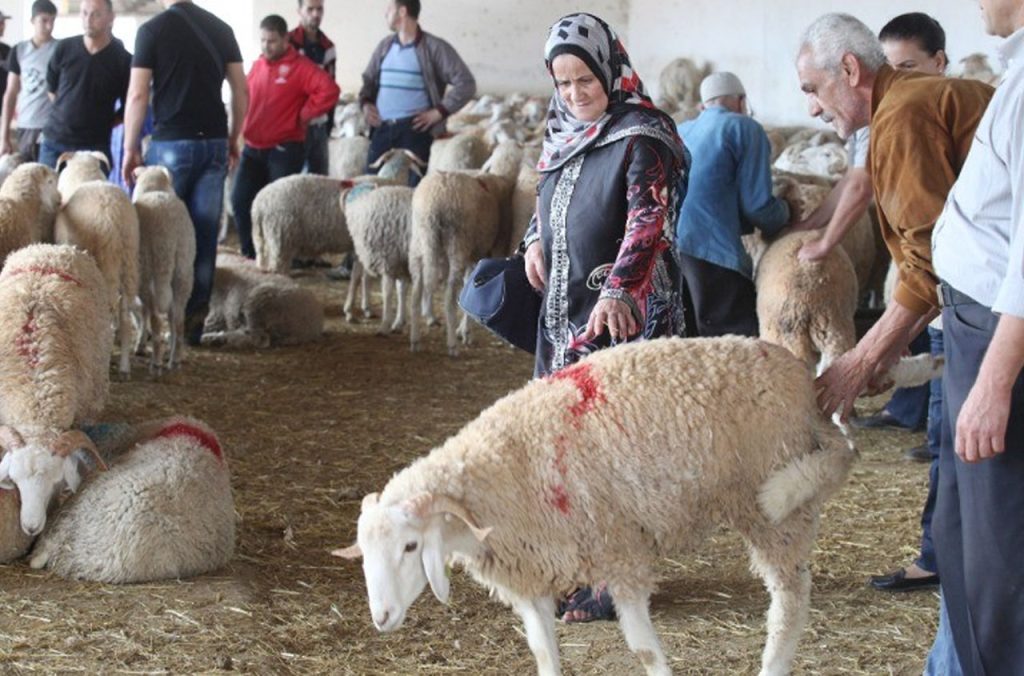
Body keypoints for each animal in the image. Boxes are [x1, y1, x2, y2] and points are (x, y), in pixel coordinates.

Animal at [132, 165, 195, 372]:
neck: (153, 187)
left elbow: (142, 313)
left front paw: (141, 344)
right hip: (183, 268)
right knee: (178, 319)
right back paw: (175, 359)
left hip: (149, 270)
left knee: (155, 318)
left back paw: (156, 362)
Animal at [337, 335, 856, 676]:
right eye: (364, 554)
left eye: (409, 547)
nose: (381, 618)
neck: (504, 464)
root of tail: (807, 386)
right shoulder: (531, 574)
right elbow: (544, 655)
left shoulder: (619, 552)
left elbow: (645, 651)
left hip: (776, 506)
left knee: (789, 602)